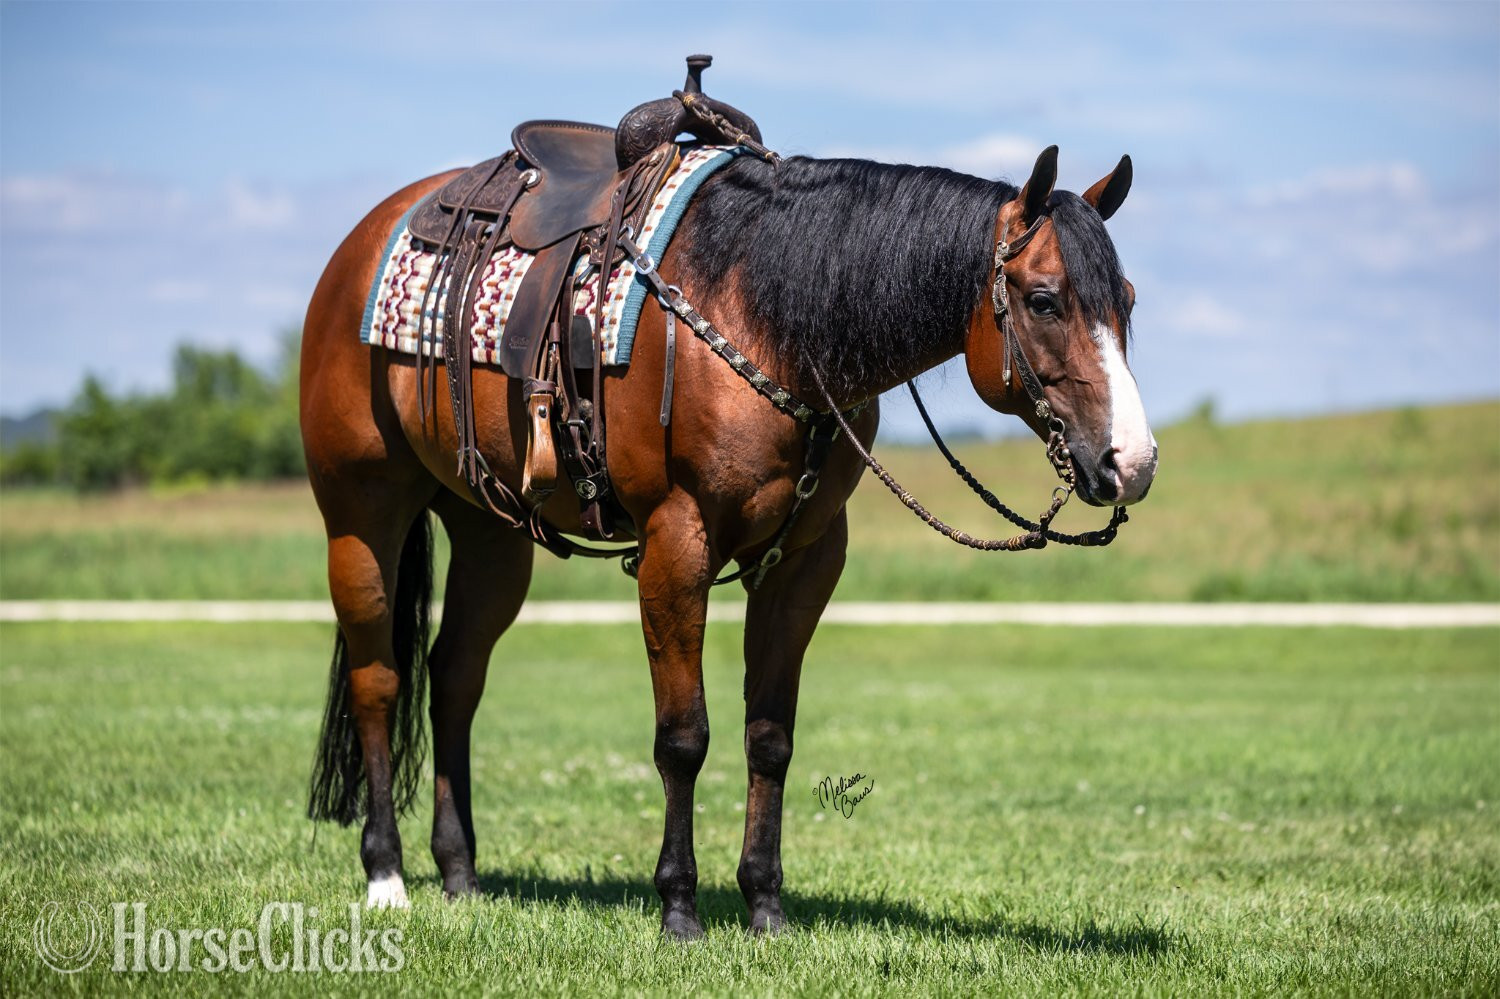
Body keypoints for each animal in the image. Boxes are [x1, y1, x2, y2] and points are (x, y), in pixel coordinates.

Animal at [300, 124, 1158, 938]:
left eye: (1128, 300)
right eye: (1044, 299)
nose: (1134, 461)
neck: (769, 317)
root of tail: (367, 238)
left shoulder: (805, 561)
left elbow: (769, 737)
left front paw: (765, 906)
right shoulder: (676, 546)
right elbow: (683, 736)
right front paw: (680, 907)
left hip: (490, 532)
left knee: (454, 676)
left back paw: (460, 871)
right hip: (361, 514)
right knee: (380, 679)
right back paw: (386, 874)